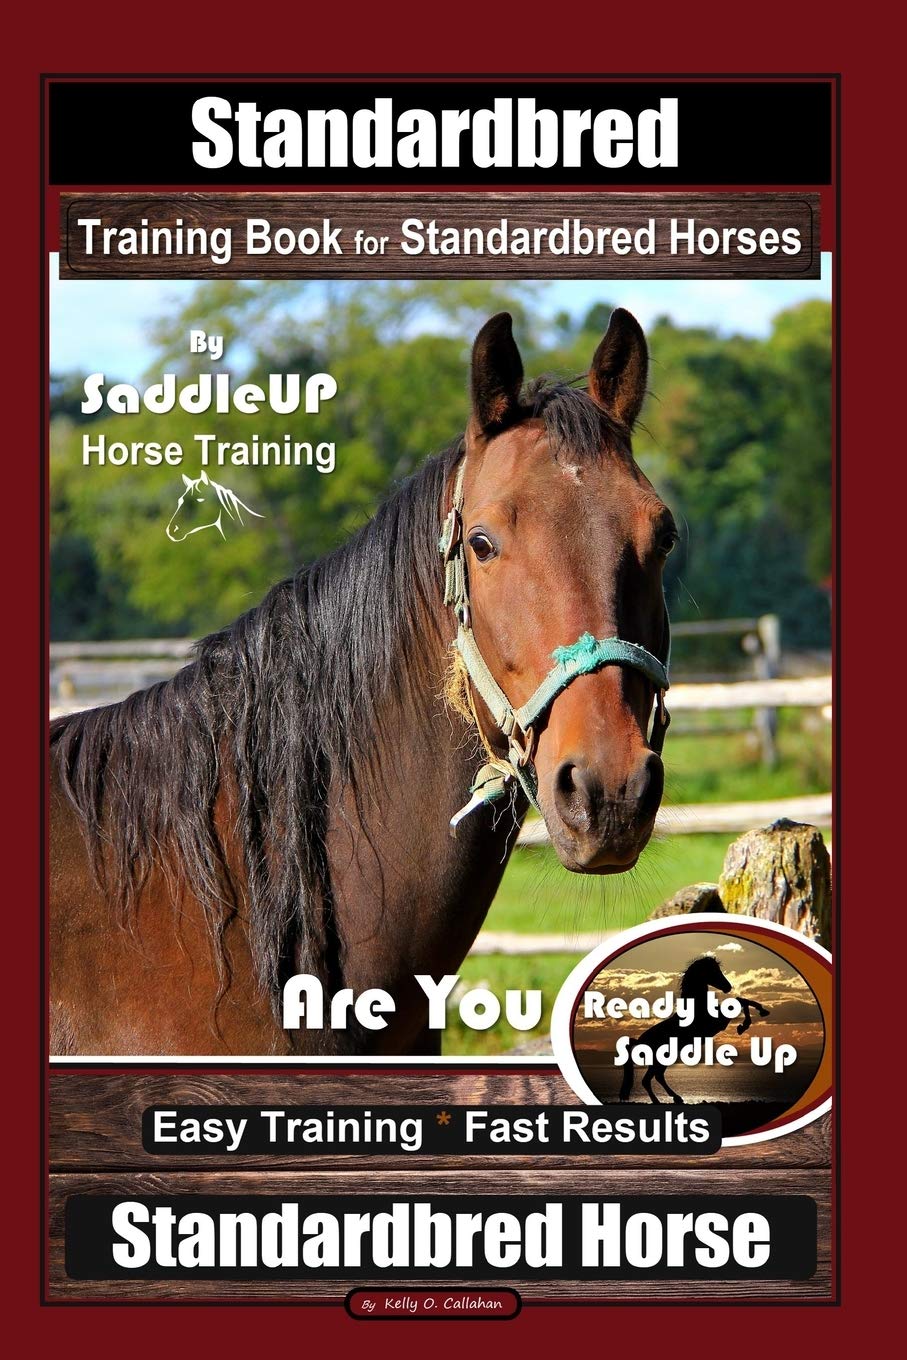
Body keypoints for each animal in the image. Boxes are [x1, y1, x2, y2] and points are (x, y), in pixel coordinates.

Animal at [617, 955, 770, 1103]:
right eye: (713, 971)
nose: (728, 987)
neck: (697, 1007)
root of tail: (639, 1041)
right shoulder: (719, 1022)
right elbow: (739, 1002)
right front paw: (744, 1025)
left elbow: (742, 1001)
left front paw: (761, 1012)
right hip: (659, 1059)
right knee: (648, 1080)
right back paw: (661, 1100)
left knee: (657, 1076)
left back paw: (676, 1098)